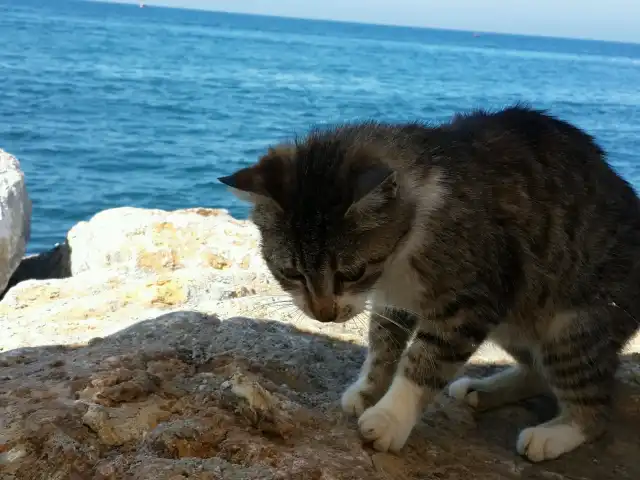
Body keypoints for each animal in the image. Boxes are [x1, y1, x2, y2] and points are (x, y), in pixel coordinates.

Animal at [219, 105, 640, 462]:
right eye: (291, 273)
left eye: (351, 272)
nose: (323, 314)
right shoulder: (394, 297)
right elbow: (383, 343)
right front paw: (368, 390)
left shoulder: (475, 296)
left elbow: (425, 358)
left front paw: (390, 418)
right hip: (516, 318)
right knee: (538, 369)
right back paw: (482, 390)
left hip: (573, 323)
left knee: (595, 406)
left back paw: (555, 433)